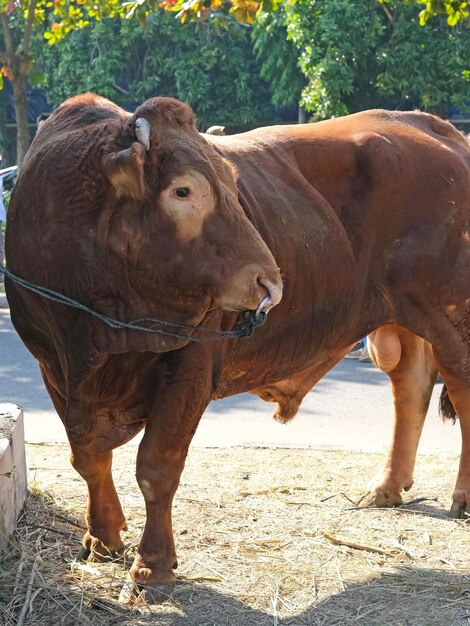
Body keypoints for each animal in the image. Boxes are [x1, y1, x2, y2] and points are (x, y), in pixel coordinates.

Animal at [4, 94, 470, 600]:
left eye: (232, 184)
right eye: (183, 191)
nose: (270, 282)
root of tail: (433, 126)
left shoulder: (189, 368)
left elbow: (156, 467)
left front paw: (153, 566)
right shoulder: (54, 369)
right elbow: (88, 458)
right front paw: (102, 537)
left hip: (449, 314)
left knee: (461, 390)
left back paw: (461, 496)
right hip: (400, 316)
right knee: (410, 387)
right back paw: (387, 485)